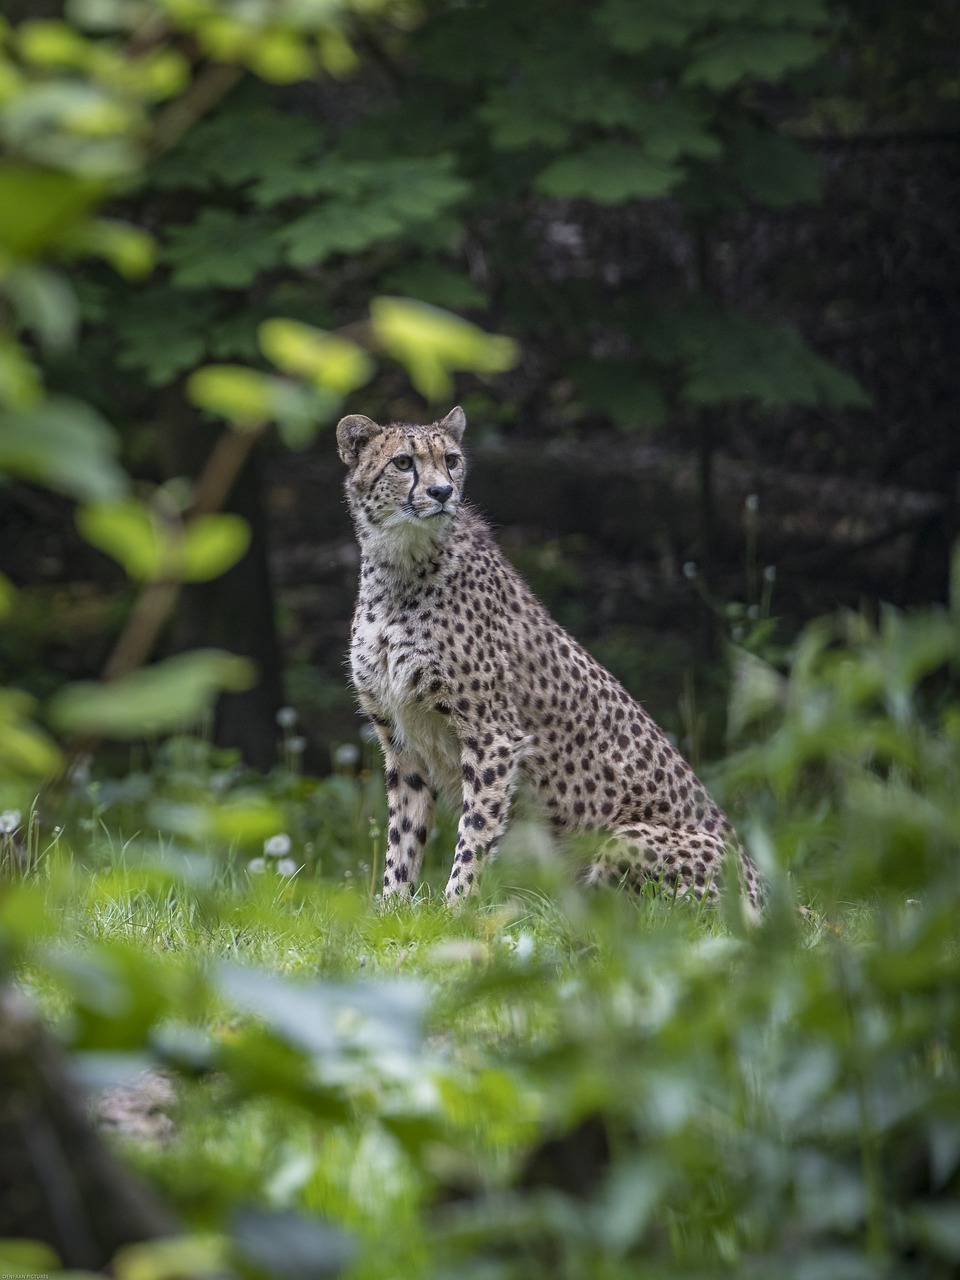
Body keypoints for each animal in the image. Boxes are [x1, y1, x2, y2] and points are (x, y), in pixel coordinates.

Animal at [343, 404, 762, 906]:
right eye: (403, 463)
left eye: (451, 460)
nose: (442, 492)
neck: (399, 567)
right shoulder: (401, 740)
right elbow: (403, 835)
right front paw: (392, 906)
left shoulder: (493, 735)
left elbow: (476, 831)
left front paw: (456, 908)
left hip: (625, 841)